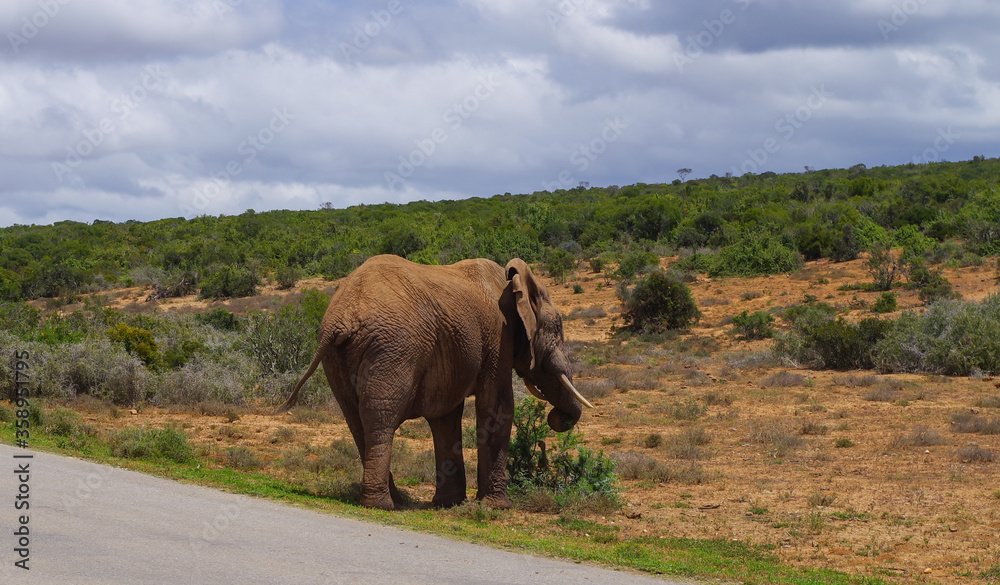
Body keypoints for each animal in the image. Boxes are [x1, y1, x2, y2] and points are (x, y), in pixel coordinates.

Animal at [278, 253, 588, 508]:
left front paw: (450, 503)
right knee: (380, 416)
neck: (512, 282)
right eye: (559, 326)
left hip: (340, 356)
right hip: (394, 347)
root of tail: (340, 318)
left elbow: (446, 416)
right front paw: (498, 506)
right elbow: (497, 408)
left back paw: (395, 500)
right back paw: (383, 505)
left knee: (356, 420)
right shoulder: (498, 337)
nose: (555, 419)